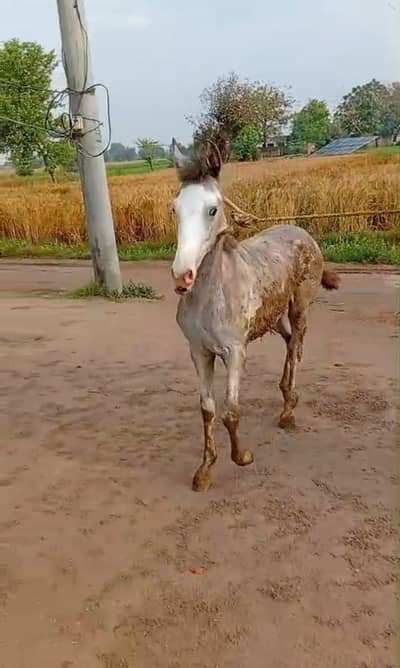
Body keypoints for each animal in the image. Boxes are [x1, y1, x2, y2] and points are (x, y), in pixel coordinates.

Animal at [171, 139, 340, 492]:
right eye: (175, 209)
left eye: (212, 209)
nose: (182, 276)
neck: (211, 295)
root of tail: (301, 231)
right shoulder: (199, 352)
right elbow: (207, 409)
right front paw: (204, 470)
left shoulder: (236, 351)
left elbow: (231, 411)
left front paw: (242, 457)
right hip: (274, 317)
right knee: (289, 342)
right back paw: (286, 393)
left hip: (300, 307)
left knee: (297, 345)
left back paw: (288, 412)